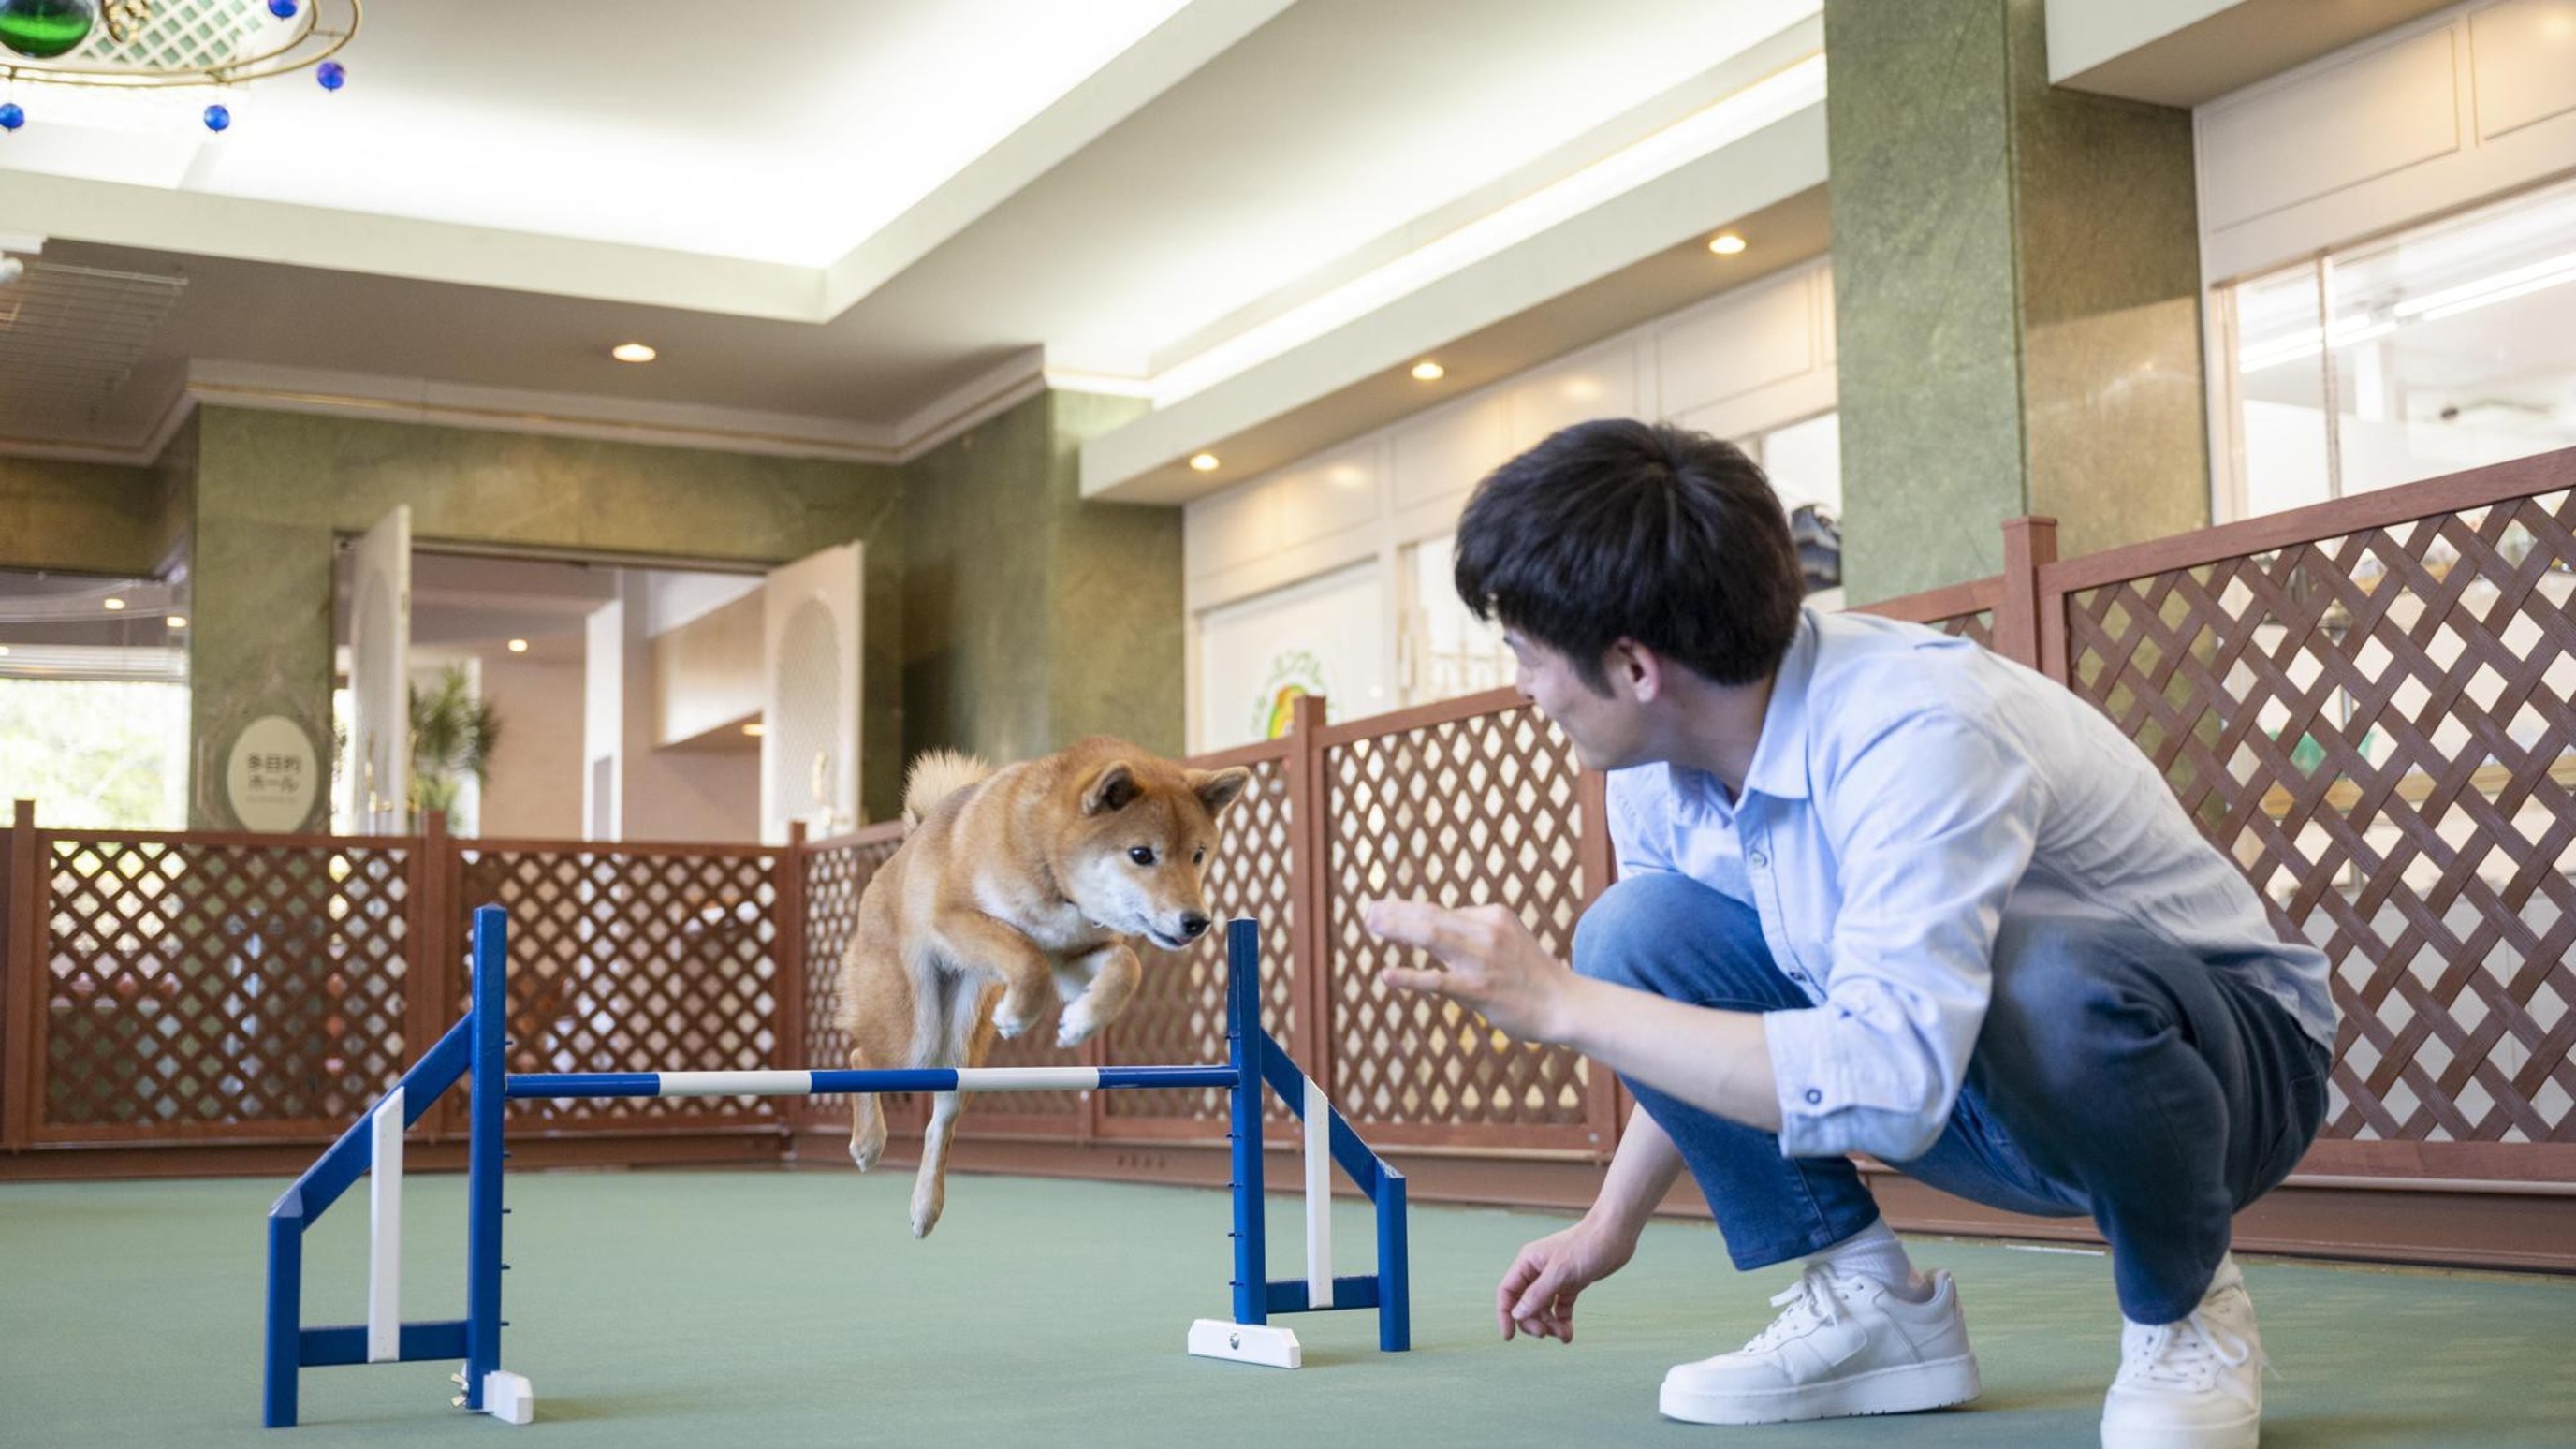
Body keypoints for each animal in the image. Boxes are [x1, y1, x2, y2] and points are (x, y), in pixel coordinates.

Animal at [834, 732, 1246, 1227]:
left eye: (1198, 855)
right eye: (1141, 854)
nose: (1197, 922)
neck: (1051, 871)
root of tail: (907, 841)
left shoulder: (1070, 954)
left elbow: (1126, 966)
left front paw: (1081, 1022)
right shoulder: (957, 919)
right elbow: (1027, 956)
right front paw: (1020, 1014)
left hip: (960, 1046)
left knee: (942, 1120)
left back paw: (925, 1205)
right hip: (913, 1032)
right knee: (860, 1058)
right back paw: (868, 1143)